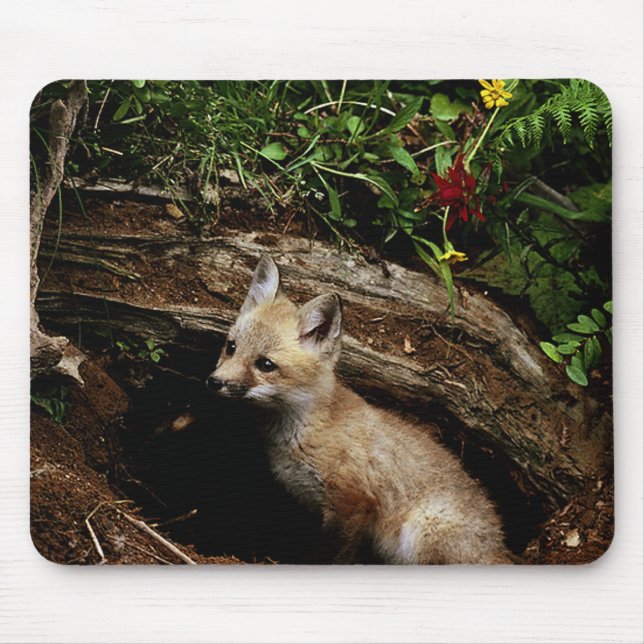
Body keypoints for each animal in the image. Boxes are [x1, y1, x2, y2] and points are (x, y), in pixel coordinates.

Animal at [207, 254, 512, 564]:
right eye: (231, 347)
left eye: (266, 365)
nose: (214, 382)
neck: (307, 430)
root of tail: (500, 547)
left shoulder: (353, 503)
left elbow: (336, 557)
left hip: (422, 531)